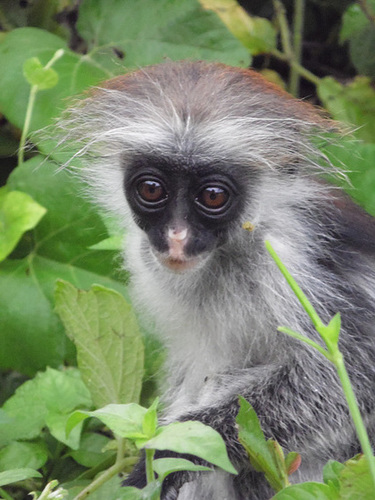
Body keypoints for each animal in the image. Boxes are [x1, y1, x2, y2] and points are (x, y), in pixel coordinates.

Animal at [60, 60, 375, 498]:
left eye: (212, 196)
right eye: (151, 189)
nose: (176, 237)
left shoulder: (291, 259)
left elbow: (351, 380)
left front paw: (172, 451)